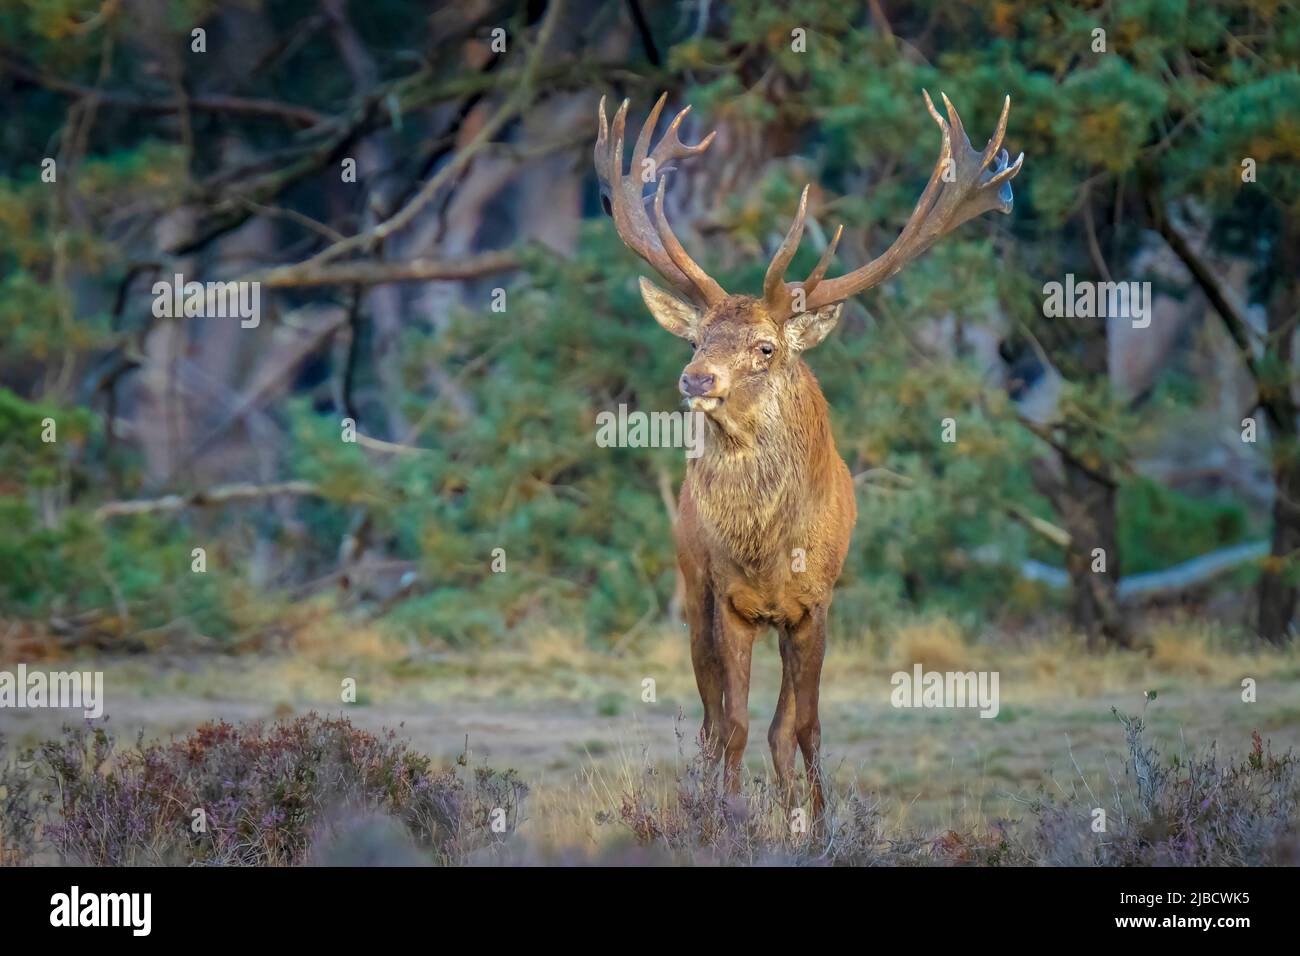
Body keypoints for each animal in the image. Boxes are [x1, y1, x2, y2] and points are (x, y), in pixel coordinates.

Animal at [594, 90, 1023, 819]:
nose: (695, 379)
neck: (770, 548)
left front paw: (815, 822)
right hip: (691, 590)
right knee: (711, 721)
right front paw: (732, 817)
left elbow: (805, 727)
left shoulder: (816, 604)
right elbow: (734, 725)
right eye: (696, 340)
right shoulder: (728, 602)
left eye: (766, 347)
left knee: (779, 726)